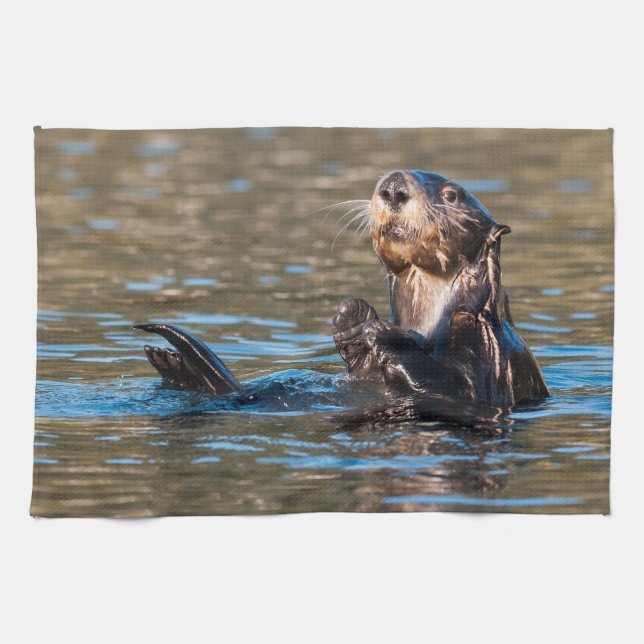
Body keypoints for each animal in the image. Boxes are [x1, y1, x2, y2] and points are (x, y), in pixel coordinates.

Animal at [135, 170, 548, 409]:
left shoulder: (482, 345)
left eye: (452, 195)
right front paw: (351, 316)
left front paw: (380, 331)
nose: (394, 187)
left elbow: (454, 386)